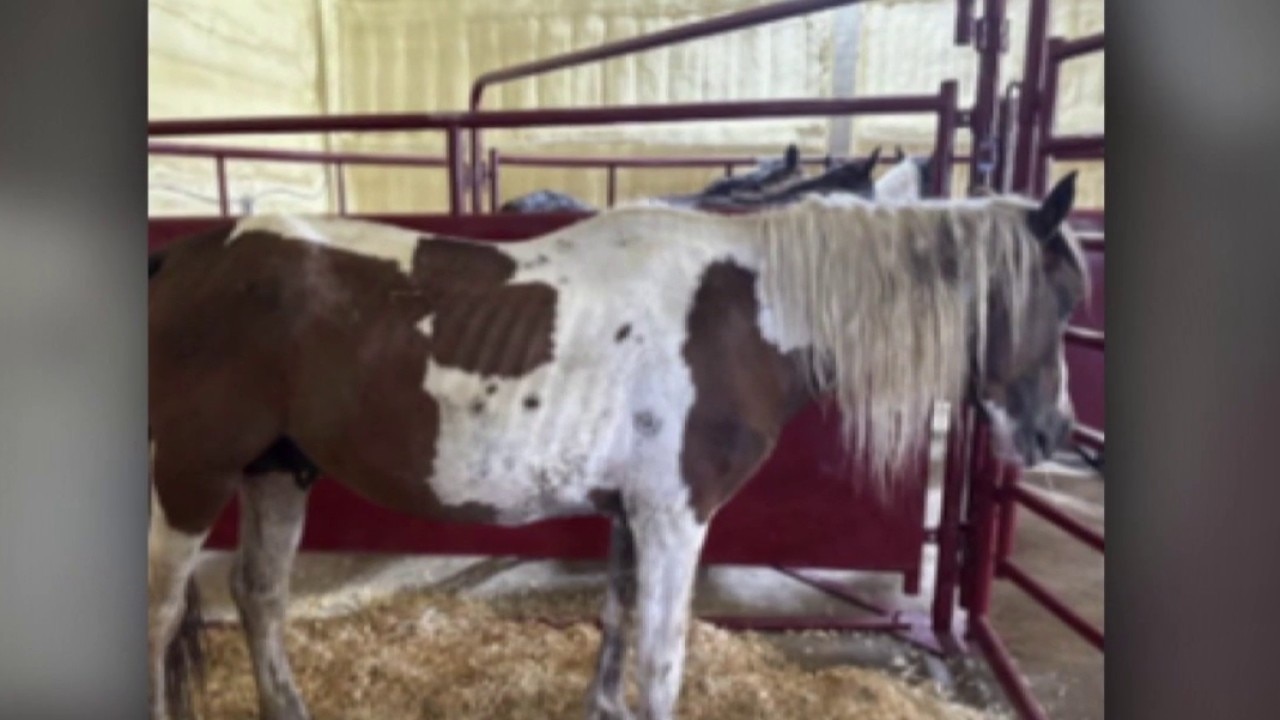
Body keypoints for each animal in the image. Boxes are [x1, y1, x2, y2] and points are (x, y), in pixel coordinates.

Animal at [147, 171, 1087, 720]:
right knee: (160, 616)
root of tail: (184, 261)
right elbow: (661, 655)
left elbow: (615, 617)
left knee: (260, 595)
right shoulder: (676, 516)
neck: (743, 317)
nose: (1054, 435)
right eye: (1065, 295)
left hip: (277, 471)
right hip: (192, 476)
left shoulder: (632, 513)